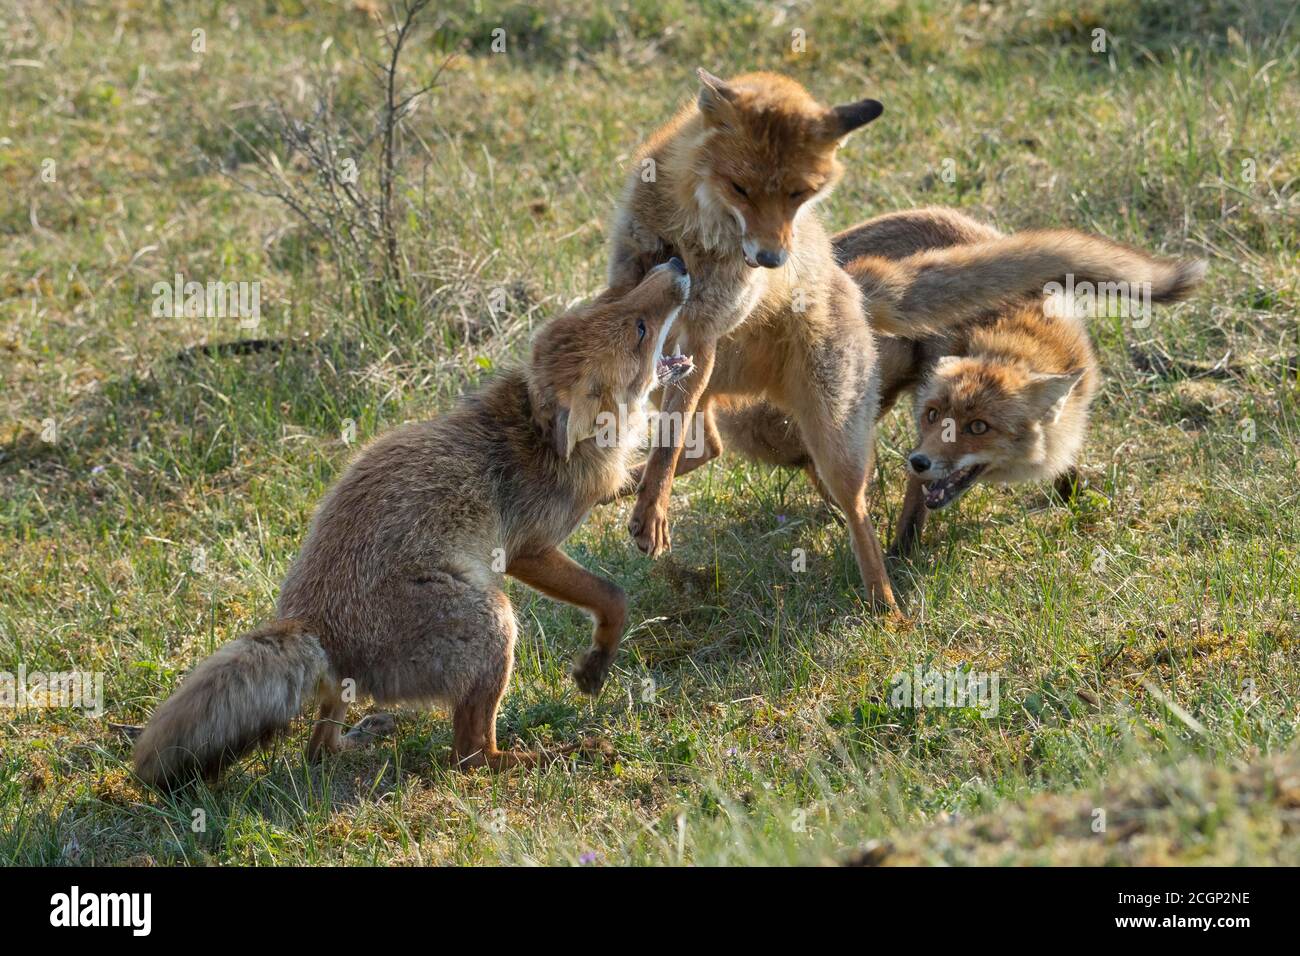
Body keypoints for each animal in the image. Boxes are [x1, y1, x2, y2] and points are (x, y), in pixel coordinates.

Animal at [133, 260, 696, 785]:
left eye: (611, 299)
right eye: (639, 328)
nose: (677, 266)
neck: (534, 432)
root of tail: (311, 625)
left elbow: (641, 481)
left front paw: (666, 483)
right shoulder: (528, 551)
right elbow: (612, 596)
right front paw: (597, 664)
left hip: (364, 682)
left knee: (320, 747)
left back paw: (358, 739)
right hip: (496, 618)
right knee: (470, 755)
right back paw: (555, 756)